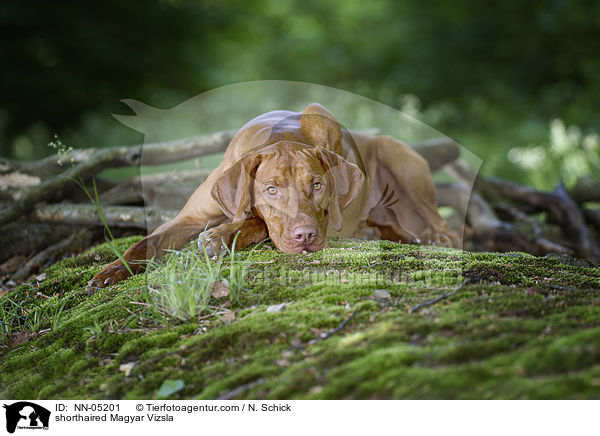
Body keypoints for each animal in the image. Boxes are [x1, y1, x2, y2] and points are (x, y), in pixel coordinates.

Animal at [86, 103, 458, 292]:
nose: (306, 236)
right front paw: (109, 272)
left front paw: (219, 237)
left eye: (317, 185)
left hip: (402, 165)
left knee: (446, 229)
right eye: (272, 189)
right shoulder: (188, 218)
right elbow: (143, 243)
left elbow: (254, 224)